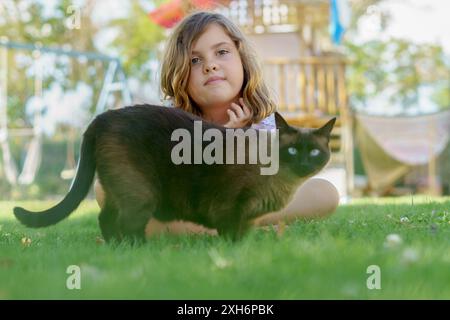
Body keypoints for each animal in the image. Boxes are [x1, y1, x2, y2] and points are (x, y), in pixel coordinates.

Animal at [13, 105, 334, 242]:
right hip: (142, 194)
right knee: (126, 223)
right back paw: (137, 251)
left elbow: (243, 237)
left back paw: (116, 248)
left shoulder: (248, 219)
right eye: (293, 151)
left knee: (105, 219)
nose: (304, 164)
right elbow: (231, 238)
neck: (284, 183)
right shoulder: (231, 209)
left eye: (313, 153)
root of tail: (101, 118)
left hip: (122, 190)